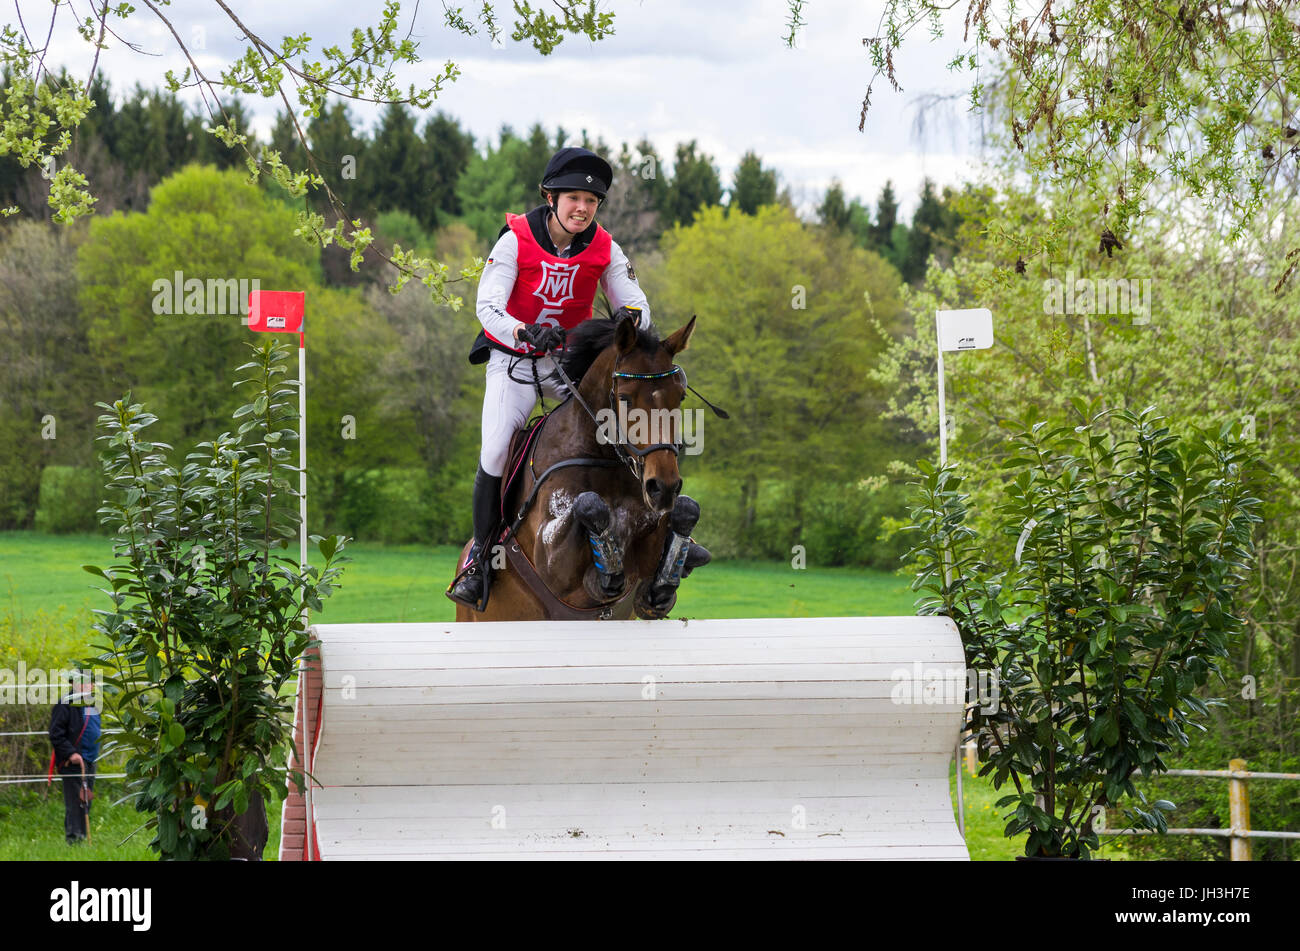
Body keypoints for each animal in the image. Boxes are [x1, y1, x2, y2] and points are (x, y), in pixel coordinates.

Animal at [454, 314, 712, 623]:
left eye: (680, 397)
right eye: (625, 398)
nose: (663, 487)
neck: (603, 458)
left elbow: (686, 510)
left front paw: (666, 578)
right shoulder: (552, 561)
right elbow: (588, 504)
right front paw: (609, 572)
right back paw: (471, 579)